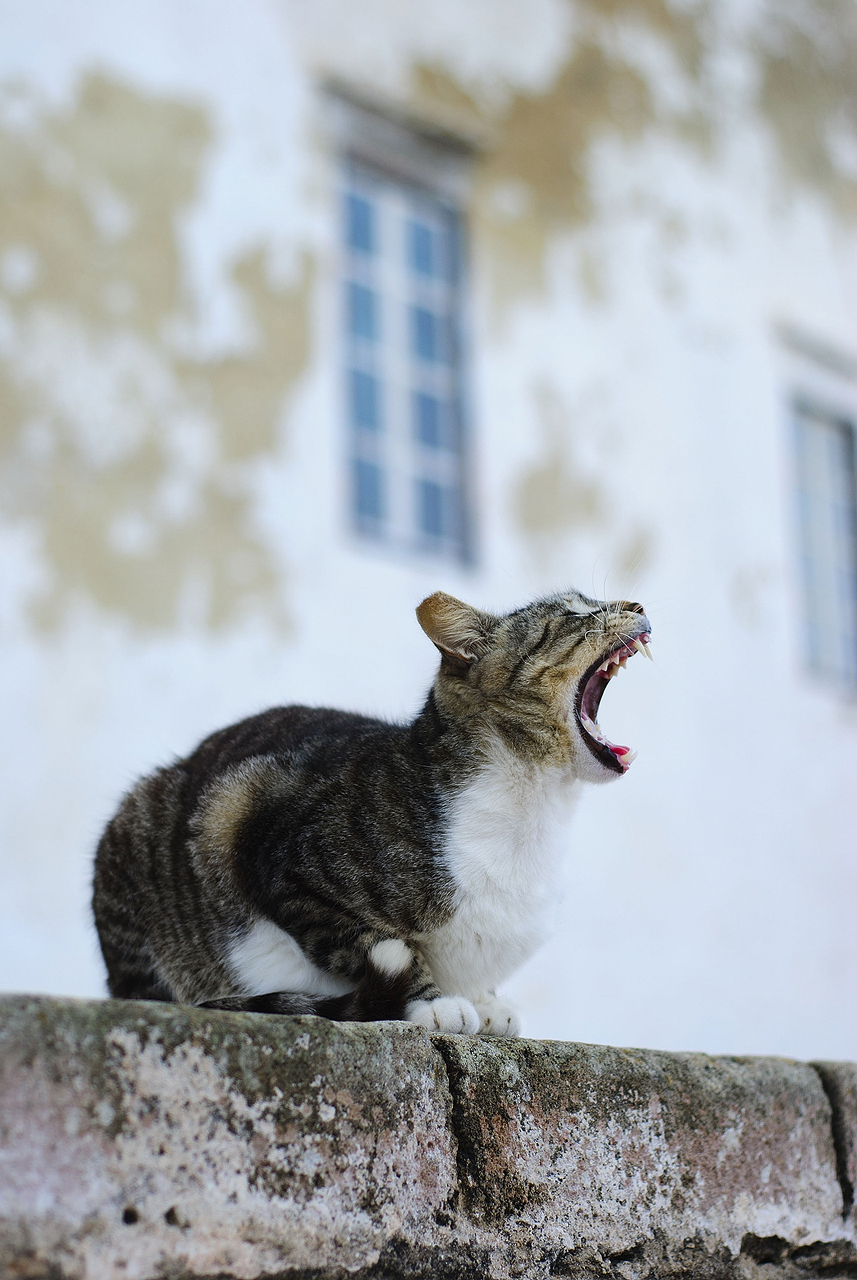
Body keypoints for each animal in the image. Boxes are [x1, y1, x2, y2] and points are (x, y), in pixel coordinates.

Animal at [92, 588, 652, 1039]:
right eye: (574, 613)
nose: (639, 605)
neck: (535, 808)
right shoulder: (278, 857)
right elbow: (376, 941)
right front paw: (434, 1004)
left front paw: (485, 1001)